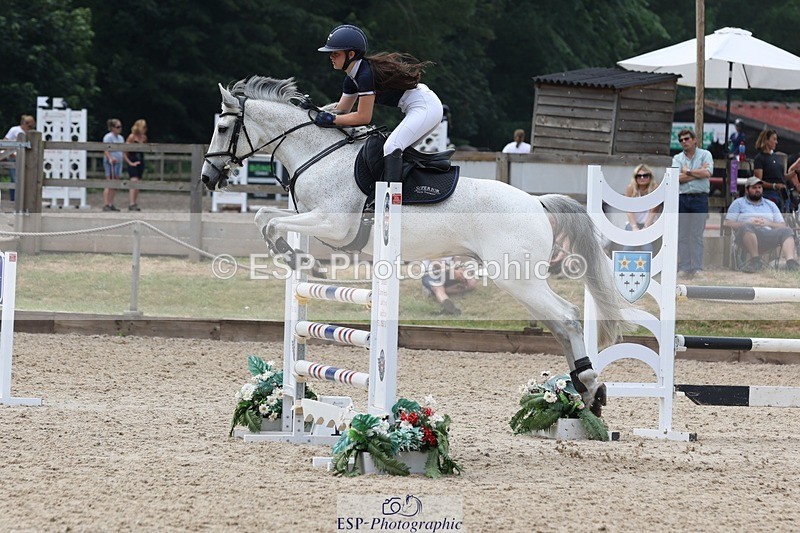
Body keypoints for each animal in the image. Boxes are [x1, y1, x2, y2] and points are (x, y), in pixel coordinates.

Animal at [201, 76, 633, 415]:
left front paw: (298, 260)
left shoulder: (334, 225)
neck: (319, 155)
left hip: (518, 279)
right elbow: (265, 217)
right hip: (521, 282)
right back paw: (583, 389)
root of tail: (537, 202)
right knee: (559, 323)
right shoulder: (315, 219)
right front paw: (301, 260)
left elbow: (268, 221)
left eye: (222, 128)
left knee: (569, 316)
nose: (208, 178)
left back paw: (590, 384)